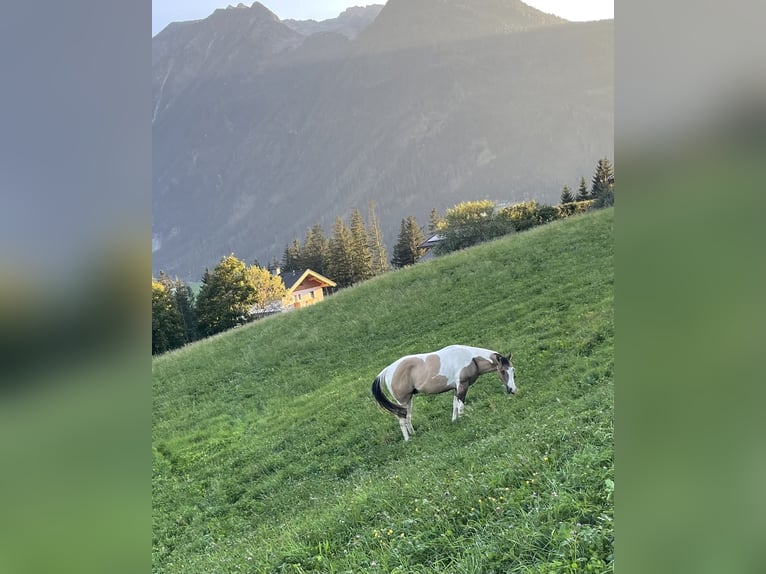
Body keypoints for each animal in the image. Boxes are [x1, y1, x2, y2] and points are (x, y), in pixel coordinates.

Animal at [370, 344, 516, 444]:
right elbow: (461, 406)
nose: (512, 390)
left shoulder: (456, 389)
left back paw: (413, 434)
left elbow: (455, 405)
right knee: (401, 419)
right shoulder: (462, 386)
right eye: (503, 371)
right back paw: (407, 439)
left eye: (512, 370)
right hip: (403, 401)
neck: (470, 358)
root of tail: (388, 370)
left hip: (408, 400)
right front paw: (464, 421)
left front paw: (455, 420)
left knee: (407, 417)